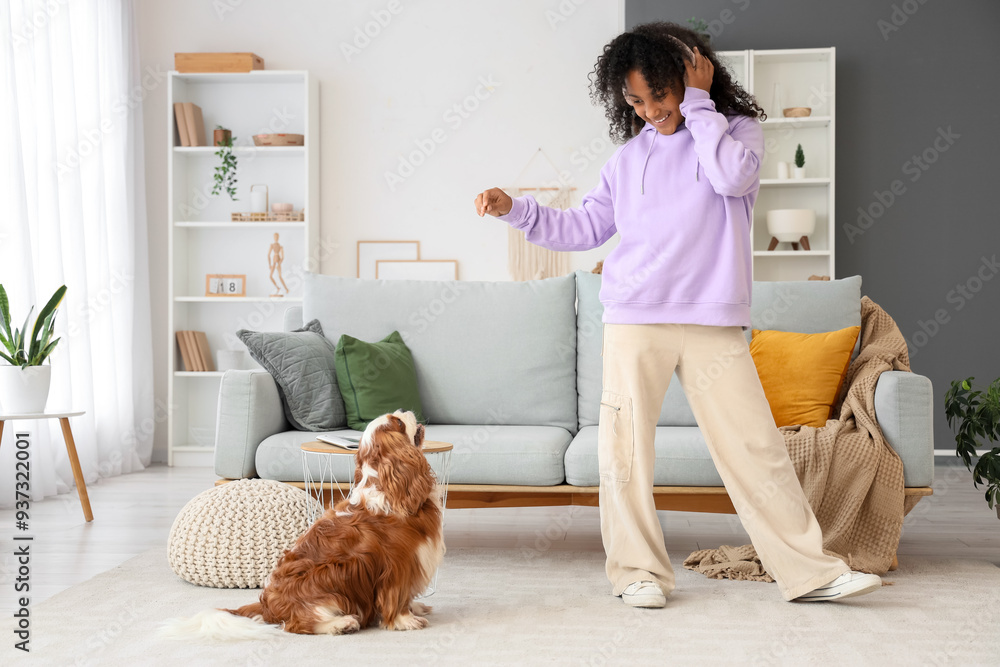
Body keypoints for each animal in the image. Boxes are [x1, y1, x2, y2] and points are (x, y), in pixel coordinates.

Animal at [161, 410, 446, 640]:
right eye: (397, 421)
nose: (404, 409)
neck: (386, 488)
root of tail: (266, 606)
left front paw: (415, 608)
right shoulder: (397, 564)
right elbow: (397, 596)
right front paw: (404, 620)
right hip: (325, 581)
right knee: (297, 624)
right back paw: (340, 624)